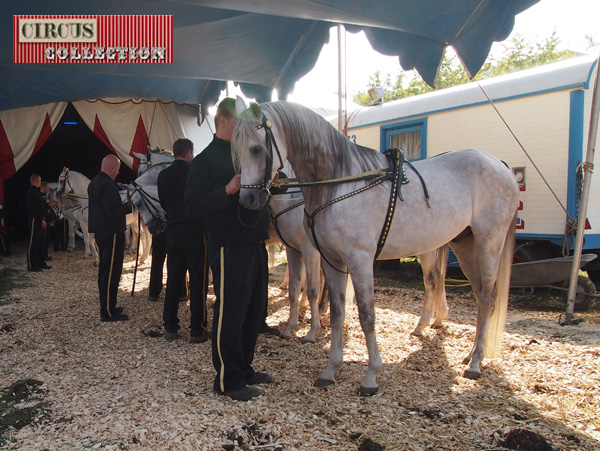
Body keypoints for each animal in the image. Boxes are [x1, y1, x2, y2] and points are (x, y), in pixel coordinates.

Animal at [232, 101, 516, 396]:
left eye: (257, 149)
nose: (247, 198)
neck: (338, 183)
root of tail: (500, 165)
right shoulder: (331, 259)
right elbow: (336, 311)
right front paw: (330, 370)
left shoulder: (357, 259)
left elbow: (366, 315)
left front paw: (370, 376)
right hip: (465, 246)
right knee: (476, 295)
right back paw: (465, 350)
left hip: (488, 243)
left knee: (485, 296)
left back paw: (474, 362)